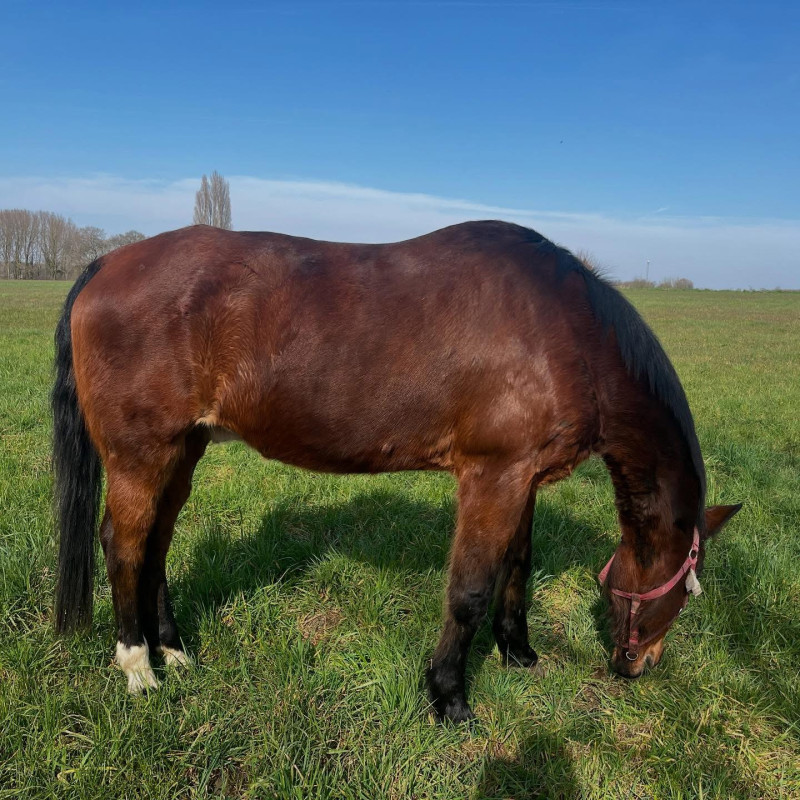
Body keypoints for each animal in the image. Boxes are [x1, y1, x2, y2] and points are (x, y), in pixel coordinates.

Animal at [51, 220, 741, 723]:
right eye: (690, 588)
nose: (639, 665)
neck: (566, 330)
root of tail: (106, 264)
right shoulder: (492, 478)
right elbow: (468, 590)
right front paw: (449, 696)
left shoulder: (524, 478)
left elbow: (517, 564)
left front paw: (517, 650)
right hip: (141, 454)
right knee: (123, 544)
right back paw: (138, 667)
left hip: (183, 449)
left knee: (156, 545)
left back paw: (172, 650)